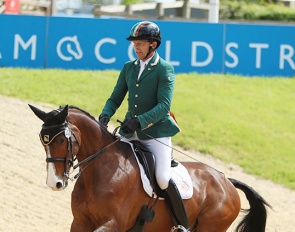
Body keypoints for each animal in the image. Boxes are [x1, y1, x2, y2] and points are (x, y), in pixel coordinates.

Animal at [28, 104, 272, 232]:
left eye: (61, 140)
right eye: (42, 141)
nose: (55, 183)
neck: (101, 172)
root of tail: (226, 181)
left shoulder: (113, 224)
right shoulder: (80, 222)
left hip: (210, 227)